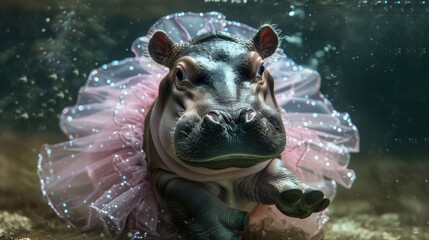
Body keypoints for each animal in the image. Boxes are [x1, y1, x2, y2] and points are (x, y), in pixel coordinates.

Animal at [143, 24, 328, 238]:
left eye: (261, 68)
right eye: (179, 74)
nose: (231, 119)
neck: (226, 172)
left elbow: (273, 170)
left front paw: (301, 195)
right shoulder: (162, 175)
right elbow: (191, 198)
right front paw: (223, 231)